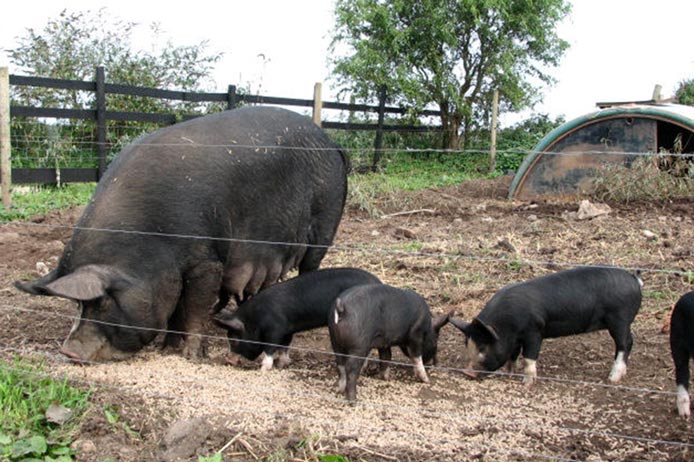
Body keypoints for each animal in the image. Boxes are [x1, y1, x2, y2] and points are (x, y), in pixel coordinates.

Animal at [14, 106, 348, 363]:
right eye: (78, 305)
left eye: (103, 302)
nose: (69, 352)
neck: (152, 239)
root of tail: (332, 143)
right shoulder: (173, 273)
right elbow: (177, 308)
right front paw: (167, 350)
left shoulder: (206, 261)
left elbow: (196, 307)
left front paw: (191, 356)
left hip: (325, 224)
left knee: (310, 267)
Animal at [213, 267, 382, 371]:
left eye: (234, 340)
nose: (228, 361)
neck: (255, 320)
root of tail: (379, 283)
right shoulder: (288, 329)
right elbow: (285, 346)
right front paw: (283, 364)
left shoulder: (275, 328)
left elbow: (271, 346)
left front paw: (263, 368)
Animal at [450, 266, 643, 386]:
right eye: (467, 345)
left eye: (483, 347)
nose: (467, 372)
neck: (506, 325)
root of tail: (634, 279)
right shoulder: (515, 338)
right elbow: (513, 355)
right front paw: (509, 373)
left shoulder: (534, 331)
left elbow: (529, 357)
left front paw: (527, 384)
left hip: (620, 319)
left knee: (625, 343)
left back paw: (612, 379)